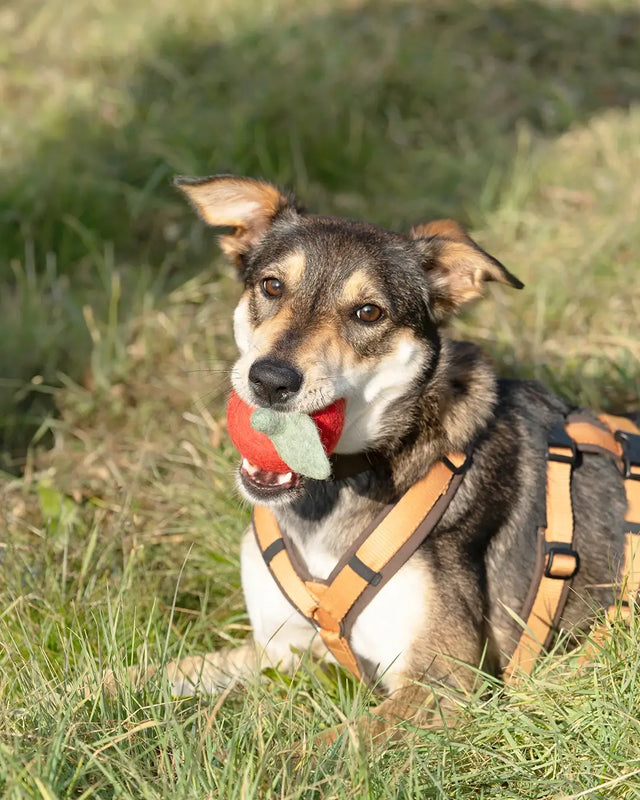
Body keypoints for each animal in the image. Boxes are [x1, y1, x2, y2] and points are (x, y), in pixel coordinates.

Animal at [107, 177, 636, 744]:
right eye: (272, 286)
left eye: (368, 313)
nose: (270, 380)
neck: (333, 490)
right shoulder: (278, 648)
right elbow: (160, 673)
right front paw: (81, 695)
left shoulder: (442, 682)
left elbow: (318, 749)